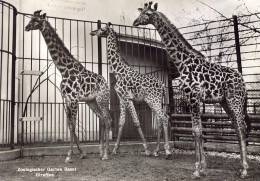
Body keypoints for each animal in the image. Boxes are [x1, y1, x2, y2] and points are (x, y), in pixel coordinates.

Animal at [24, 10, 112, 162]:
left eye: (36, 20)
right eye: (31, 18)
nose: (26, 27)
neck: (64, 69)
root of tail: (106, 83)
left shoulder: (74, 99)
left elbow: (73, 126)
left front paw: (70, 156)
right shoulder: (66, 99)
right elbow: (69, 125)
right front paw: (80, 153)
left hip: (102, 99)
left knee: (107, 120)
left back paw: (106, 154)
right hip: (91, 101)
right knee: (101, 119)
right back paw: (101, 152)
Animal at [90, 22, 172, 157]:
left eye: (101, 28)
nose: (92, 32)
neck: (118, 71)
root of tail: (162, 86)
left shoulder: (127, 97)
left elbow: (136, 121)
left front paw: (146, 149)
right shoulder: (122, 98)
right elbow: (121, 122)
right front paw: (115, 149)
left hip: (153, 100)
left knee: (164, 118)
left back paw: (167, 151)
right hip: (155, 101)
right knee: (160, 120)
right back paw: (156, 150)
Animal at [133, 2, 249, 179]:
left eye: (147, 14)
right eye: (140, 13)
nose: (134, 22)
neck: (183, 62)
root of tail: (243, 81)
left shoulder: (193, 97)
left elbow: (196, 131)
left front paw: (196, 169)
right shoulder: (192, 99)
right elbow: (199, 131)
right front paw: (203, 167)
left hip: (235, 101)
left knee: (241, 127)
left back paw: (244, 169)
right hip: (225, 102)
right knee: (237, 127)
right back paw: (240, 167)